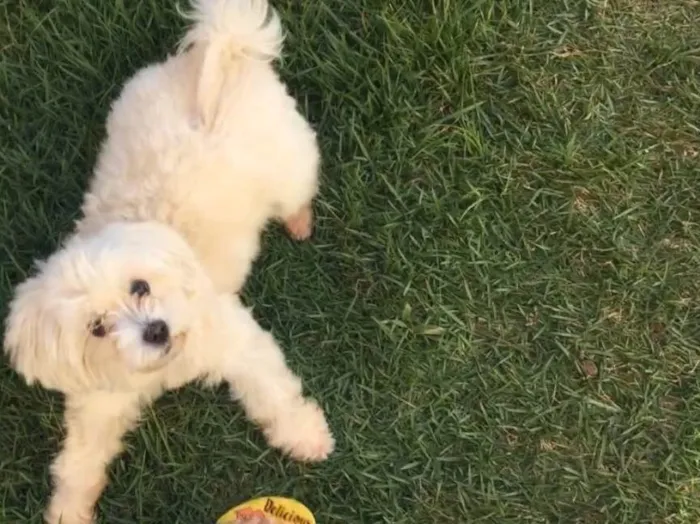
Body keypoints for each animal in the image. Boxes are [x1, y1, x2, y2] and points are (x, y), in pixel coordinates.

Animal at [2, 221, 334, 524]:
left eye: (140, 287)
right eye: (96, 327)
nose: (156, 330)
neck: (165, 363)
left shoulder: (234, 339)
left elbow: (272, 392)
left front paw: (303, 433)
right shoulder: (101, 401)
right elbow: (82, 453)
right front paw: (69, 505)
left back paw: (300, 222)